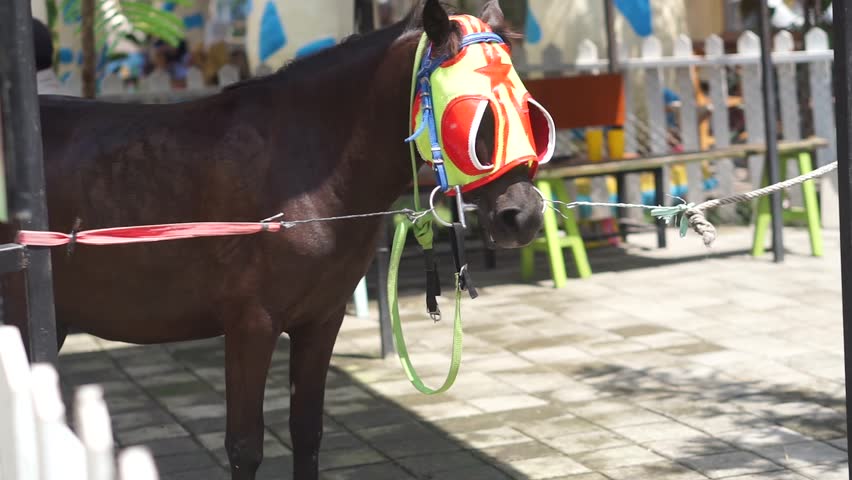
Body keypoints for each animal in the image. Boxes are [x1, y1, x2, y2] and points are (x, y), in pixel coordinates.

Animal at [19, 1, 549, 478]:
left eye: (528, 110)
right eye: (476, 117)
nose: (521, 215)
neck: (302, 167)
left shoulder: (321, 320)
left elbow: (307, 433)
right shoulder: (250, 326)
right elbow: (244, 447)